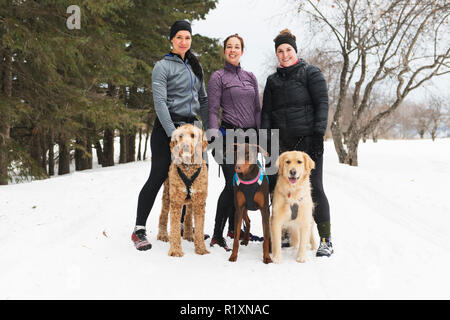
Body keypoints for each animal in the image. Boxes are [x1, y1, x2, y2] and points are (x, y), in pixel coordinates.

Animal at [156, 123, 209, 258]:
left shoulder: (199, 202)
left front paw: (201, 249)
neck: (188, 168)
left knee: (188, 215)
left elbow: (199, 228)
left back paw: (189, 234)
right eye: (180, 136)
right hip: (167, 194)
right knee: (163, 214)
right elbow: (174, 228)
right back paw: (163, 234)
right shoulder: (176, 201)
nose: (185, 146)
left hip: (190, 201)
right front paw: (175, 250)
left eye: (193, 135)